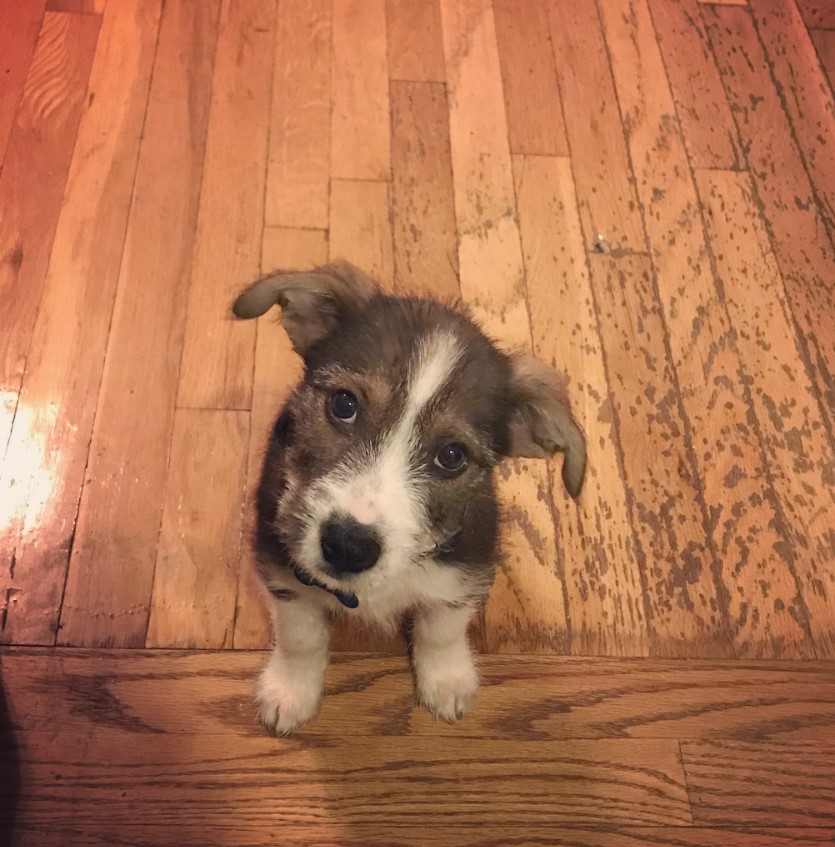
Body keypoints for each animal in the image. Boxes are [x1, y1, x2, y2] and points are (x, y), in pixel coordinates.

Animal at [233, 264, 588, 736]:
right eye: (343, 403)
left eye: (452, 456)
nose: (348, 546)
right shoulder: (282, 570)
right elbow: (300, 635)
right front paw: (290, 691)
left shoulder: (464, 571)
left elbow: (442, 628)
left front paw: (447, 680)